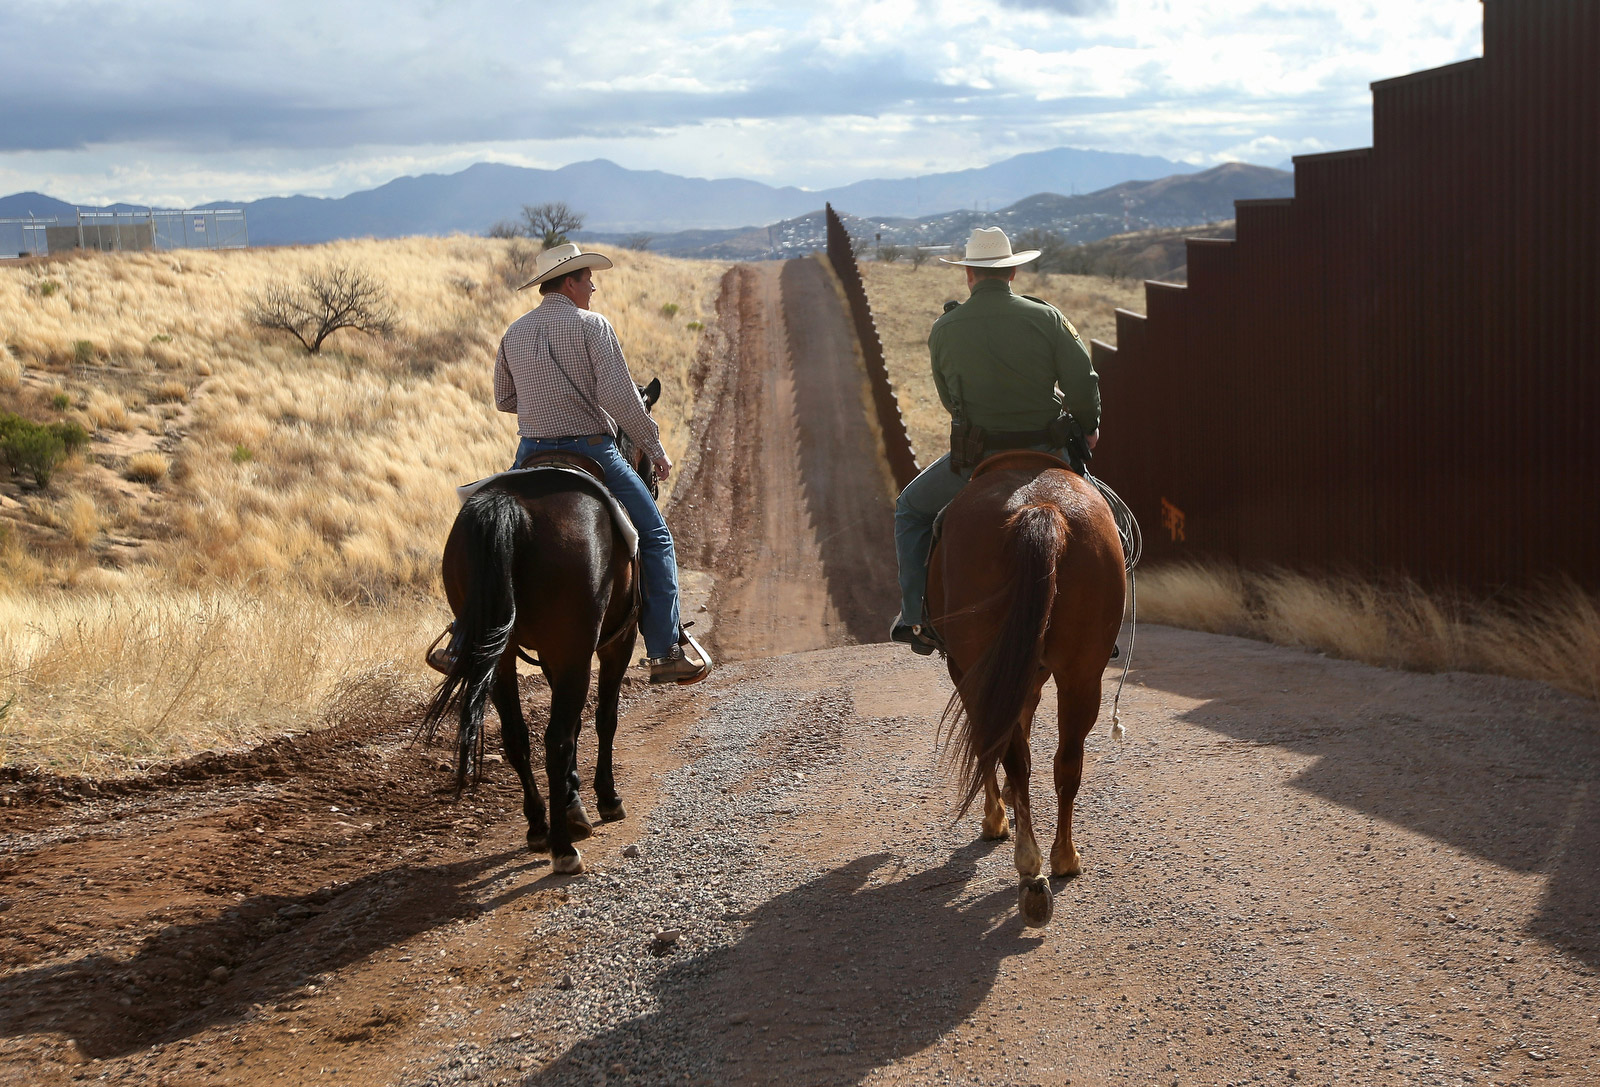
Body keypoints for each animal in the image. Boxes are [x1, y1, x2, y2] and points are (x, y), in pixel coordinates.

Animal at [928, 451, 1126, 928]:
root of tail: (1041, 505)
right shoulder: (1027, 673)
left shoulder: (968, 671)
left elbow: (991, 744)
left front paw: (995, 819)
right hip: (1081, 673)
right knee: (1067, 761)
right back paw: (1062, 859)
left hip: (981, 665)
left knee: (1011, 755)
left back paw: (1031, 871)